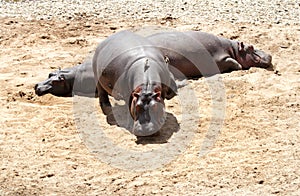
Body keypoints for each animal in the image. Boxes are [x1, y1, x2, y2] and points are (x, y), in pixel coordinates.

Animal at [146, 30, 274, 78]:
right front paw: (239, 66)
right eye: (251, 47)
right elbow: (234, 62)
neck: (234, 50)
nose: (270, 55)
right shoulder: (220, 57)